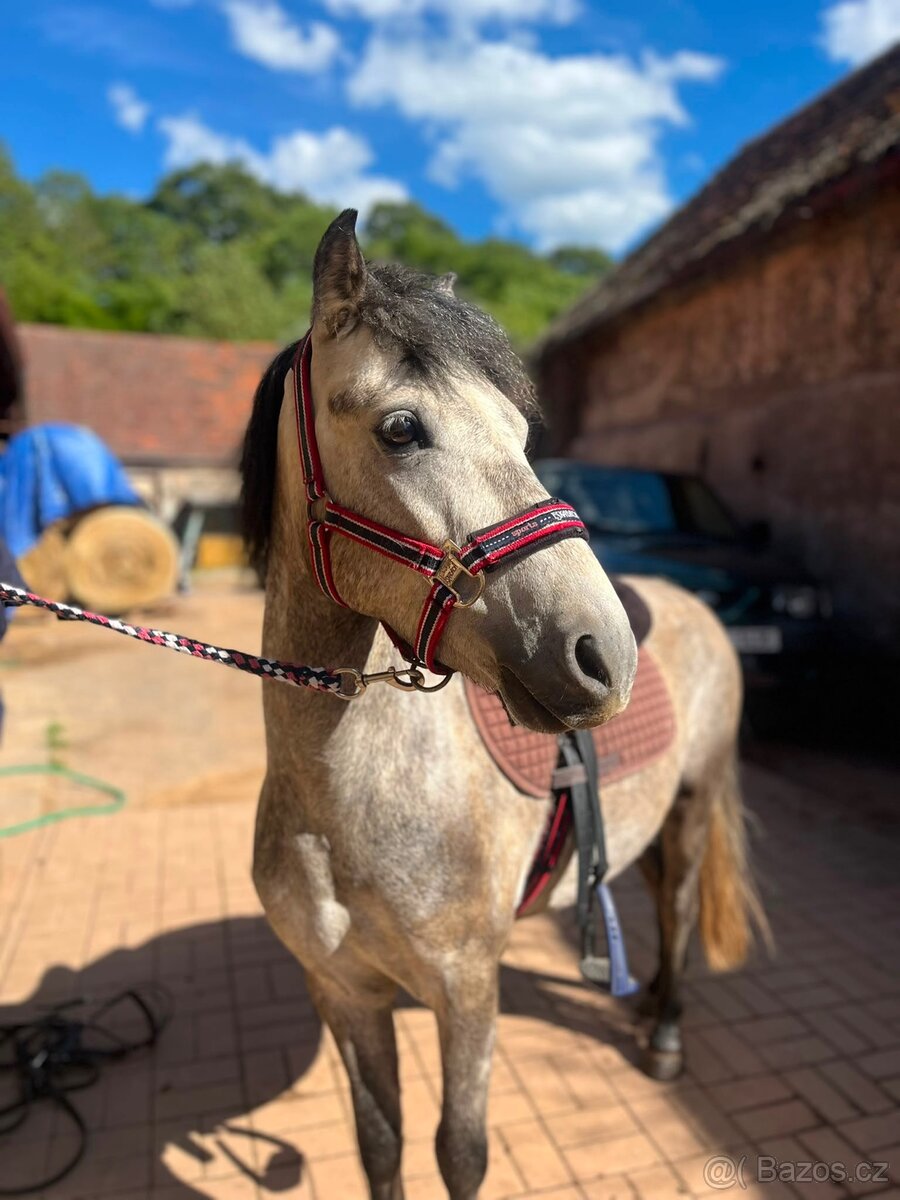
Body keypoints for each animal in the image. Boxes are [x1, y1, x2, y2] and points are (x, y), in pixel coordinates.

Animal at [240, 210, 766, 1200]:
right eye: (401, 428)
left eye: (522, 432)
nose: (603, 656)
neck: (341, 800)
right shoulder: (345, 993)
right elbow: (381, 1143)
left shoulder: (465, 991)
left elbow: (460, 1150)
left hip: (691, 804)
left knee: (679, 911)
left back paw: (665, 1036)